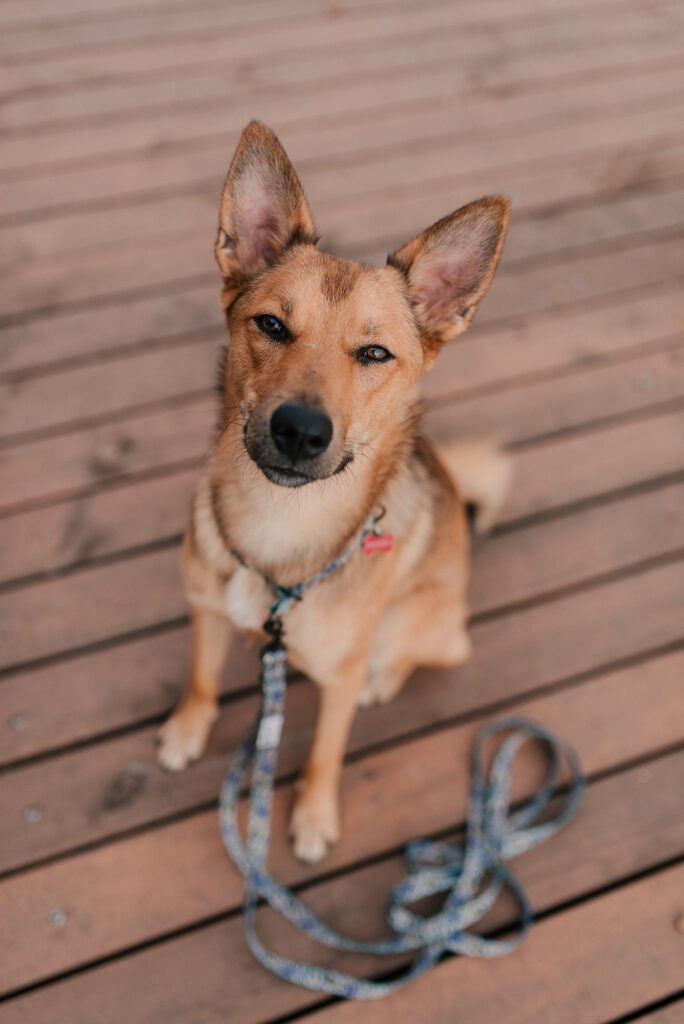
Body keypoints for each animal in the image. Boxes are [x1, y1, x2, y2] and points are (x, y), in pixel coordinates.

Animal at [160, 119, 509, 864]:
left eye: (374, 354)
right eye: (271, 325)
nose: (299, 431)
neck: (280, 523)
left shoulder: (338, 678)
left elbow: (326, 747)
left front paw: (314, 816)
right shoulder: (204, 609)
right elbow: (202, 676)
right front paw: (188, 728)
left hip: (416, 622)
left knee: (426, 653)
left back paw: (386, 679)